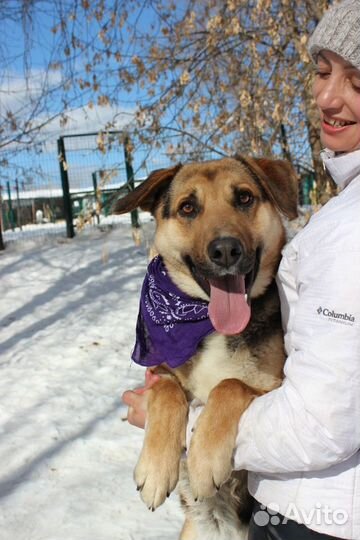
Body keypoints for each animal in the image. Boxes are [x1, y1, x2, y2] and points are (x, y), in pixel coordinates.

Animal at [114, 156, 298, 540]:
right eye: (188, 207)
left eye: (244, 198)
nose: (225, 250)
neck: (208, 323)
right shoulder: (159, 371)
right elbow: (167, 391)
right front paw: (155, 468)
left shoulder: (276, 388)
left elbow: (230, 385)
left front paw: (204, 460)